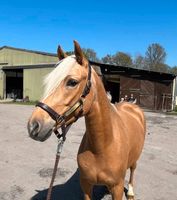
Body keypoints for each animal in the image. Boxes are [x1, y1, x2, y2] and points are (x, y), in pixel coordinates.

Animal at [27, 41, 146, 200]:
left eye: (72, 82)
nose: (33, 126)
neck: (103, 146)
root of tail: (131, 105)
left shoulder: (118, 187)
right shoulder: (87, 185)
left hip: (135, 158)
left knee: (133, 169)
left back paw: (131, 192)